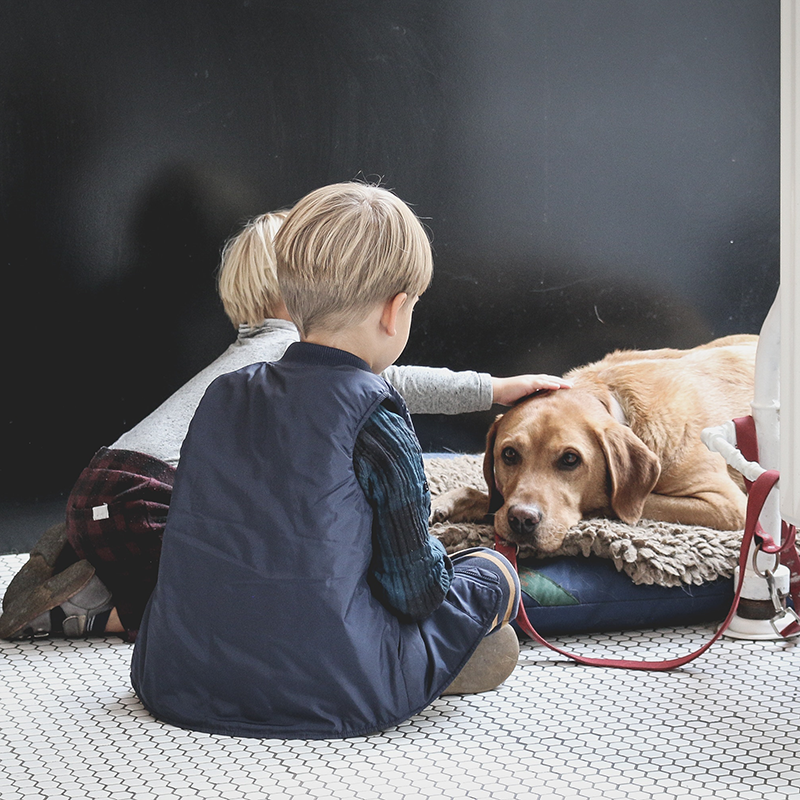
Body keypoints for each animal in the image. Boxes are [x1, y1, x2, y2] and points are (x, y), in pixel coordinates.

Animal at [434, 334, 752, 552]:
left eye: (570, 459)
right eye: (509, 454)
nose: (521, 519)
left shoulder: (728, 504)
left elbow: (617, 502)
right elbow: (491, 498)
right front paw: (453, 502)